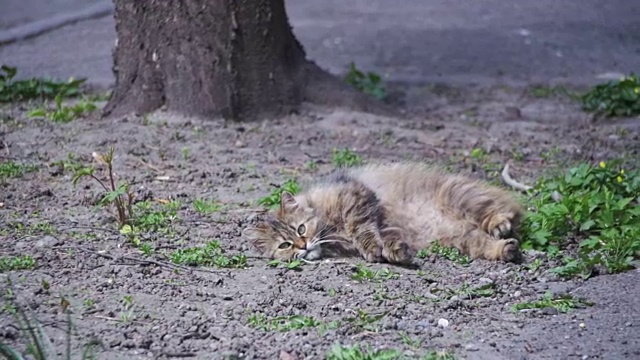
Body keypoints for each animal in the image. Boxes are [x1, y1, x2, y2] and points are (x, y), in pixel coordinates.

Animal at [245, 162, 524, 264]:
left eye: (301, 229)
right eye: (285, 245)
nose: (302, 246)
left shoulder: (356, 200)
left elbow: (362, 231)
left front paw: (374, 250)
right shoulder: (385, 223)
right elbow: (387, 239)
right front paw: (395, 253)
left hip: (462, 197)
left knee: (505, 211)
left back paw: (500, 225)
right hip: (458, 238)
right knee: (485, 244)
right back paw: (506, 249)